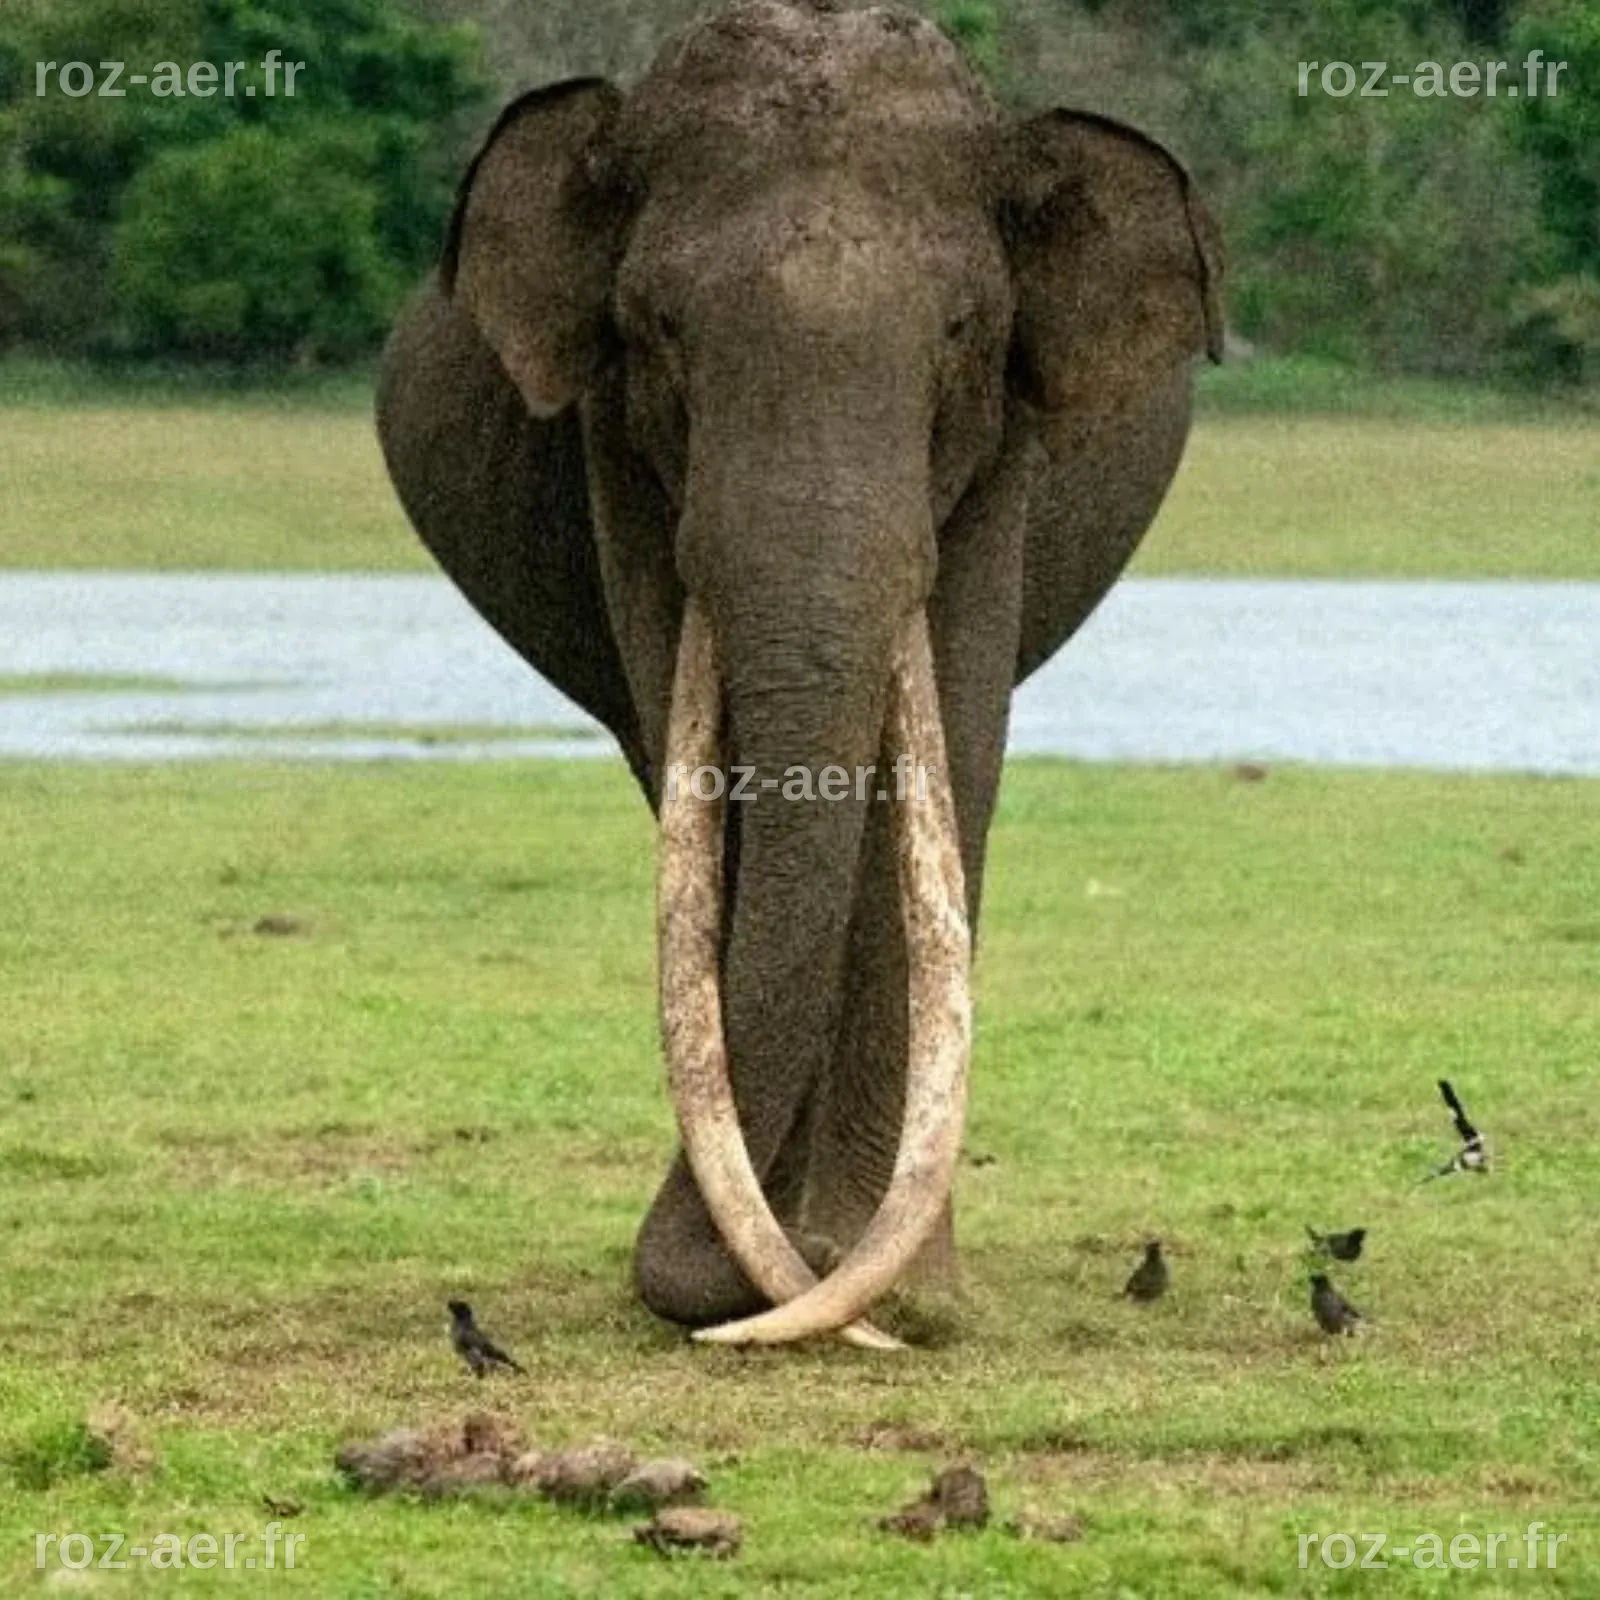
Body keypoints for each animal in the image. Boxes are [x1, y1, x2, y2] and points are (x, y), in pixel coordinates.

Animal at [376, 0, 1223, 1348]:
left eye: (961, 332)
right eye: (660, 329)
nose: (767, 1274)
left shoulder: (1003, 447)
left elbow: (952, 753)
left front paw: (909, 1297)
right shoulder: (616, 444)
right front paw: (787, 1266)